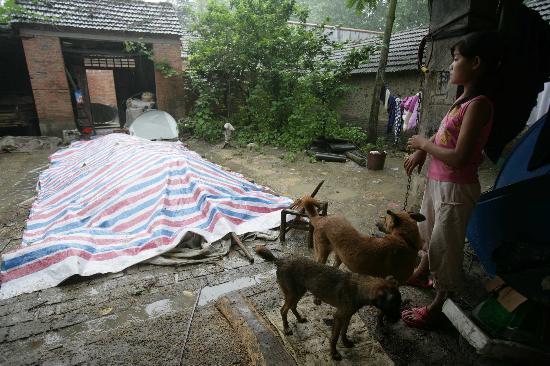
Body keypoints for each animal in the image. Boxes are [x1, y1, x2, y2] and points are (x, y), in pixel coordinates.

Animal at [254, 244, 402, 362]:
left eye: (399, 303)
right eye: (394, 304)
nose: (399, 318)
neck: (360, 289)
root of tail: (280, 260)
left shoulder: (347, 315)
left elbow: (344, 331)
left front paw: (346, 342)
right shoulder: (339, 316)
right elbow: (334, 337)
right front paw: (334, 354)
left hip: (300, 291)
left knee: (293, 306)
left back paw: (299, 318)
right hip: (292, 293)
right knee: (283, 310)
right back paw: (286, 328)